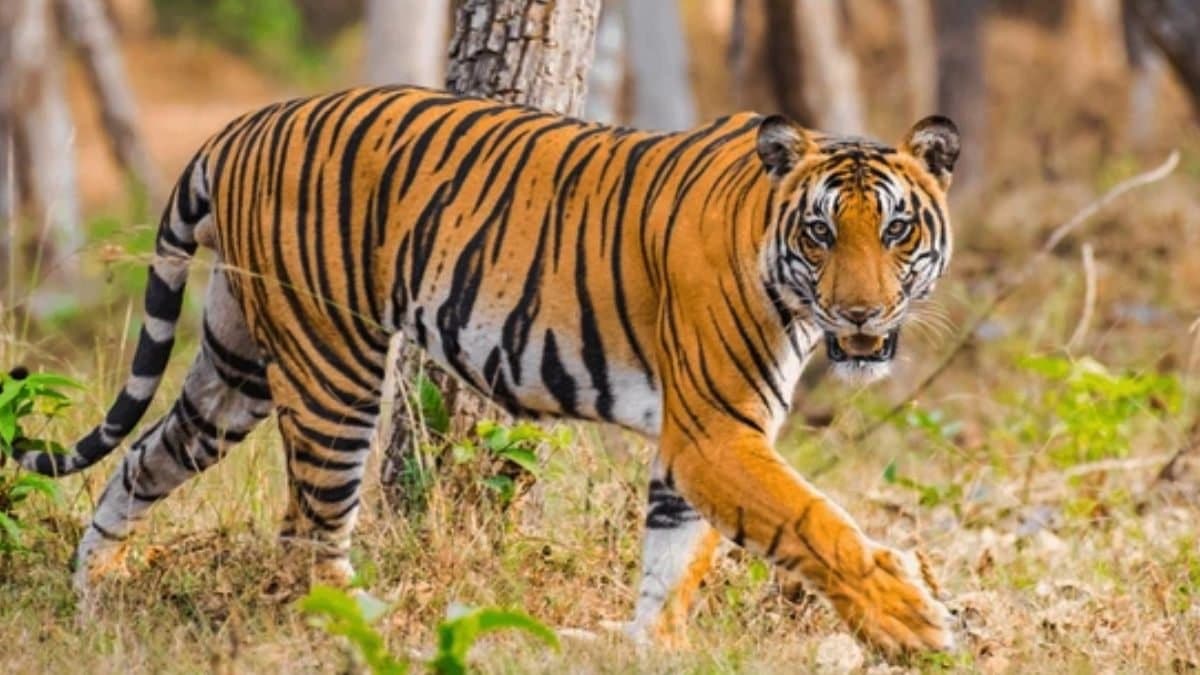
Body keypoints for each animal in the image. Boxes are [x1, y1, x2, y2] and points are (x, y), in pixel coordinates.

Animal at [15, 86, 960, 654]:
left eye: (896, 230)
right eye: (821, 233)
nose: (863, 314)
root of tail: (238, 125)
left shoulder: (696, 443)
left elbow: (672, 558)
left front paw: (651, 649)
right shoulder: (715, 432)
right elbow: (813, 520)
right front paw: (913, 619)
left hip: (235, 363)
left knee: (144, 459)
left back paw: (90, 597)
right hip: (335, 368)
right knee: (308, 532)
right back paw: (366, 633)